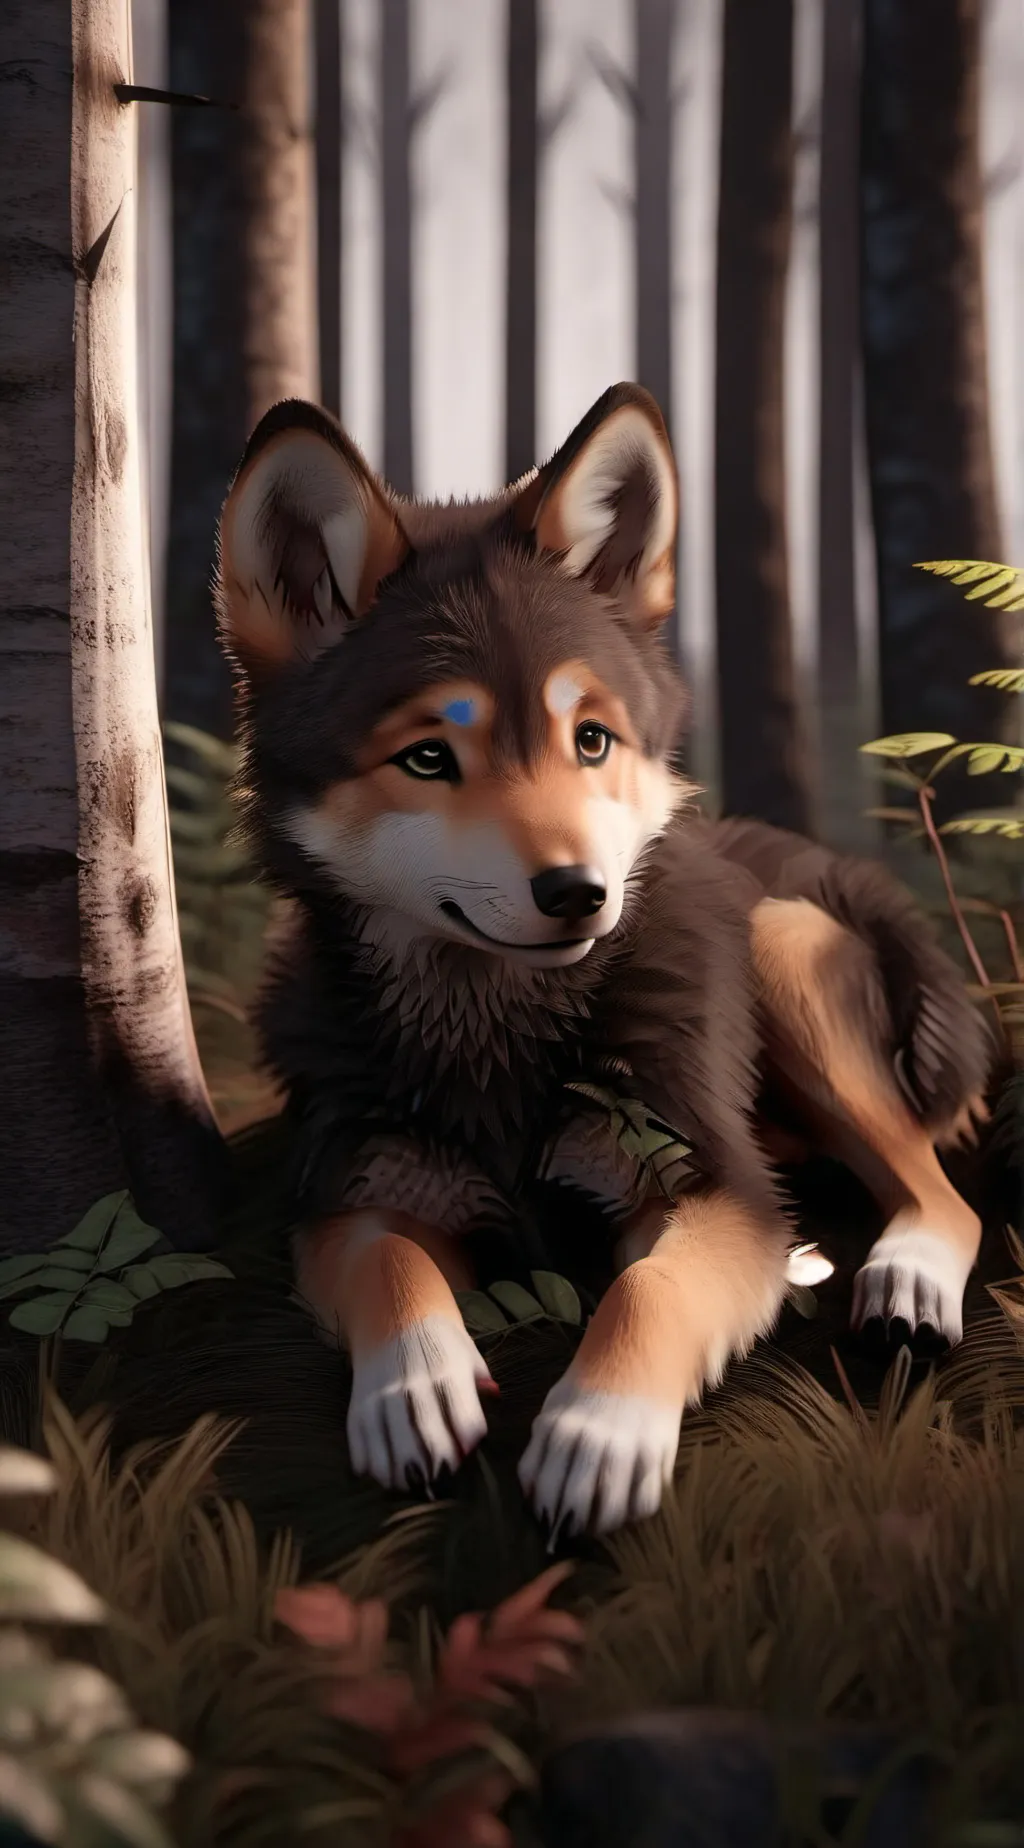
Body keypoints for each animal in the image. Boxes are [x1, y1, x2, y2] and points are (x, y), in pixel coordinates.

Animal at [215, 383, 991, 1541]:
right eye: (428, 757)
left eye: (590, 740)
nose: (581, 893)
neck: (494, 1040)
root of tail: (775, 853)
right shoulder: (353, 1192)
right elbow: (392, 1265)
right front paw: (412, 1386)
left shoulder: (718, 1194)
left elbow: (647, 1291)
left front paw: (600, 1430)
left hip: (780, 953)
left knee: (942, 1195)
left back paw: (907, 1277)